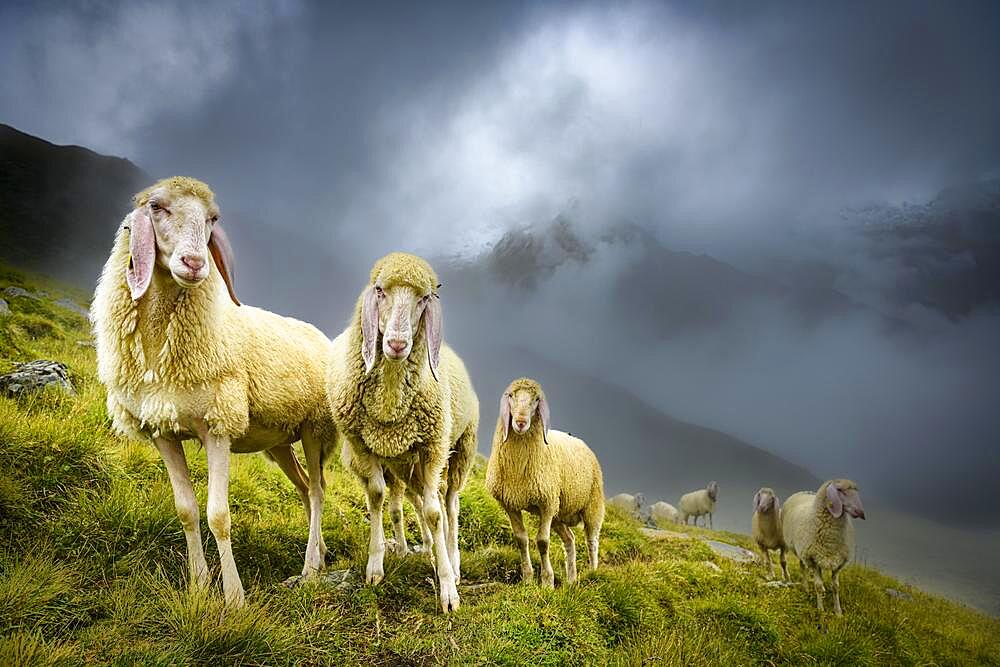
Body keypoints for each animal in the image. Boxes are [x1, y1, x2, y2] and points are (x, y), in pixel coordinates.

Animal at [89, 176, 334, 604]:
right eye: (156, 206)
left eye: (212, 219)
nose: (195, 264)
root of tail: (318, 334)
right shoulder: (162, 430)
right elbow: (186, 509)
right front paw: (199, 585)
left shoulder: (218, 425)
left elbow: (218, 515)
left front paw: (234, 598)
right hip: (279, 441)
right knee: (305, 488)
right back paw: (317, 554)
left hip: (314, 428)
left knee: (318, 492)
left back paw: (309, 569)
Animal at [326, 252, 478, 616]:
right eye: (380, 290)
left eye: (424, 299)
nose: (396, 344)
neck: (389, 402)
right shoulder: (362, 446)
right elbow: (379, 498)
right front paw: (376, 565)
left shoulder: (434, 447)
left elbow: (435, 513)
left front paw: (448, 589)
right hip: (404, 467)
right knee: (415, 503)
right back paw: (424, 549)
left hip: (461, 450)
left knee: (449, 506)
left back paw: (452, 560)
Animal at [486, 378, 604, 588]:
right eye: (511, 396)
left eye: (536, 400)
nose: (521, 422)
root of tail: (581, 441)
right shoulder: (510, 504)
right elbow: (521, 539)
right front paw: (527, 578)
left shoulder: (547, 504)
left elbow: (542, 541)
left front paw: (547, 582)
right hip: (559, 513)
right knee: (570, 539)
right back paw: (571, 580)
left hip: (592, 505)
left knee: (592, 540)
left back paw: (593, 573)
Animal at [780, 480, 868, 616]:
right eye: (840, 490)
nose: (861, 513)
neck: (831, 540)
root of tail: (804, 492)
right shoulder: (813, 560)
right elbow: (818, 585)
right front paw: (821, 610)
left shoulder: (839, 563)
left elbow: (836, 587)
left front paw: (838, 612)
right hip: (796, 548)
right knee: (798, 565)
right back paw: (801, 586)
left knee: (803, 566)